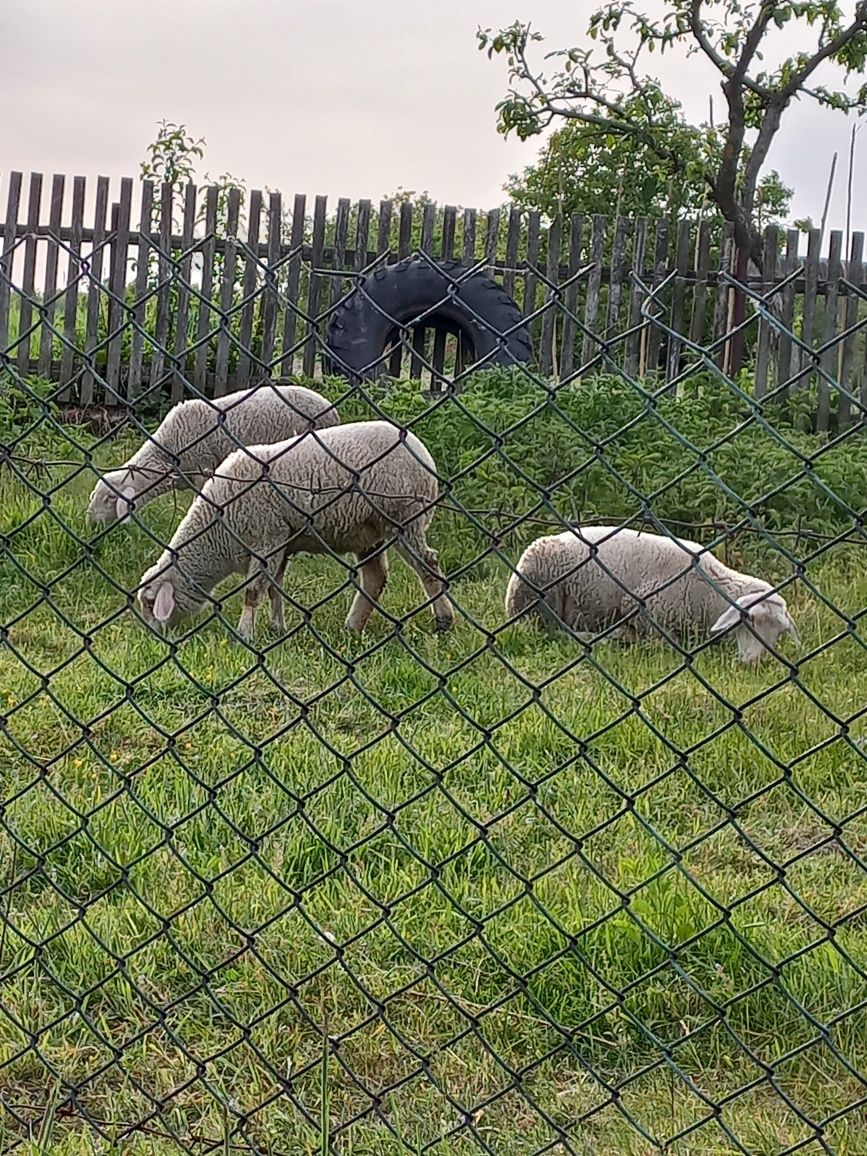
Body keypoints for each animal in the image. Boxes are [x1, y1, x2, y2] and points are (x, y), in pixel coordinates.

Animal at [134, 420, 455, 642]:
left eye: (150, 603)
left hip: (405, 517)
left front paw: (245, 634)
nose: (152, 637)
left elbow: (253, 591)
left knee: (428, 564)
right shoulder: (280, 544)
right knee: (375, 578)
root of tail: (421, 450)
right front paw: (277, 628)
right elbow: (274, 588)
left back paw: (444, 621)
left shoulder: (266, 540)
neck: (217, 536)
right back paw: (352, 627)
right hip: (369, 531)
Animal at [506, 522, 804, 665]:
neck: (711, 592)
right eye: (750, 620)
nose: (752, 663)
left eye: (779, 633)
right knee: (550, 630)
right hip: (539, 599)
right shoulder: (640, 606)